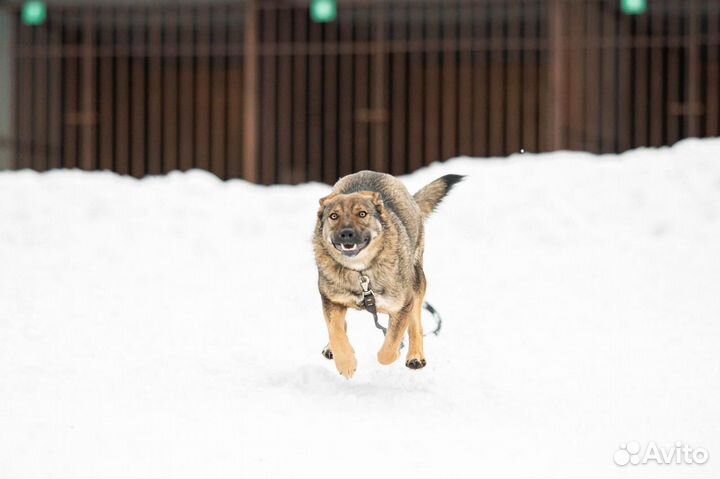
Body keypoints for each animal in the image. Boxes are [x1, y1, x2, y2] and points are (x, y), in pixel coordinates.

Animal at [314, 172, 462, 378]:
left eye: (362, 214)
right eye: (333, 216)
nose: (346, 234)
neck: (362, 272)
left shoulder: (404, 304)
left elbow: (389, 348)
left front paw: (395, 349)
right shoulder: (331, 300)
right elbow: (335, 330)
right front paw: (346, 362)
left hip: (417, 282)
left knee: (415, 326)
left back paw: (415, 356)